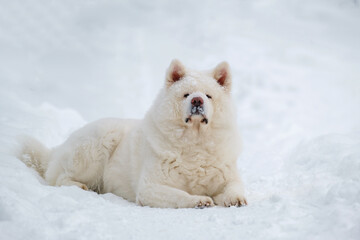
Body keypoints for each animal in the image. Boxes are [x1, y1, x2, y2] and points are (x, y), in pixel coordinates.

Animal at [18, 60, 246, 208]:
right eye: (186, 94)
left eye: (208, 95)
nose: (197, 101)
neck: (195, 142)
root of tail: (56, 150)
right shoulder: (150, 187)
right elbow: (179, 194)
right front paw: (198, 200)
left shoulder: (228, 176)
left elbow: (235, 187)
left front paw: (234, 199)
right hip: (99, 143)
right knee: (59, 177)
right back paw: (81, 187)